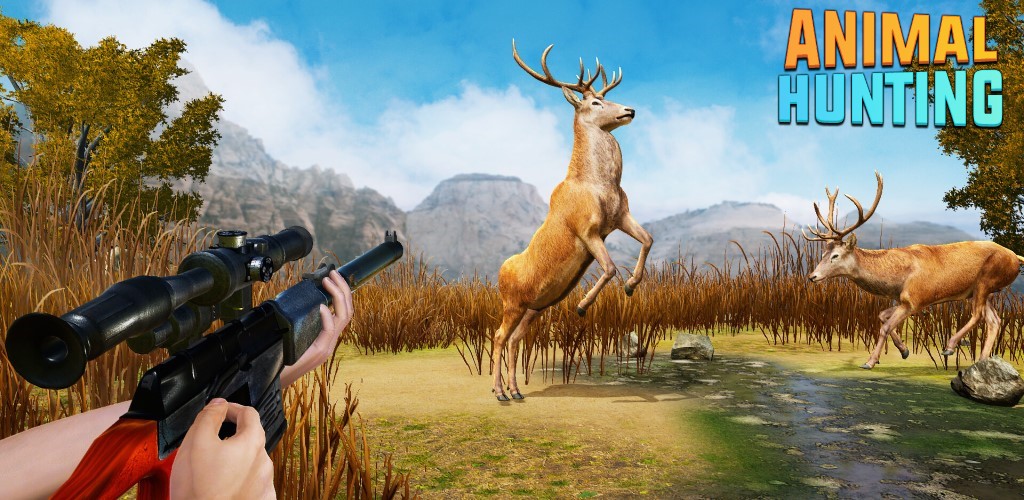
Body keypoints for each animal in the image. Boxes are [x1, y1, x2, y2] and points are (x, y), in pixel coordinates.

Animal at [488, 41, 653, 401]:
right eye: (595, 102)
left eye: (605, 97)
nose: (630, 110)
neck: (599, 185)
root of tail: (499, 275)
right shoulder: (586, 229)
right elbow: (609, 267)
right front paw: (581, 306)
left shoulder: (620, 217)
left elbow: (648, 239)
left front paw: (631, 286)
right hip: (512, 303)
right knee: (498, 335)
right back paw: (499, 392)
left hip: (533, 307)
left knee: (515, 339)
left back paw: (517, 391)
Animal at [803, 171, 1024, 369]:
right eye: (823, 252)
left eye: (835, 255)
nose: (812, 276)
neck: (897, 278)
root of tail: (1016, 258)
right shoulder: (903, 299)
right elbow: (882, 316)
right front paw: (904, 350)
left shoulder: (914, 299)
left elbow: (885, 326)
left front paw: (870, 361)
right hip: (985, 291)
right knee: (994, 320)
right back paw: (982, 360)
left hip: (986, 280)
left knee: (977, 315)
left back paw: (950, 347)